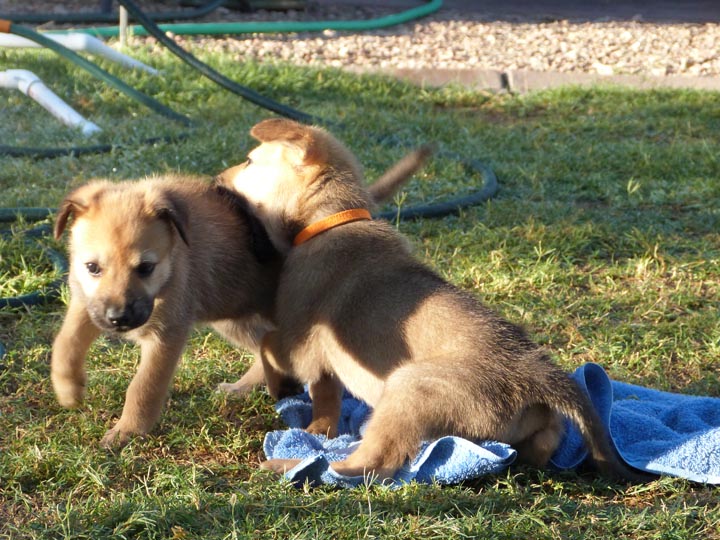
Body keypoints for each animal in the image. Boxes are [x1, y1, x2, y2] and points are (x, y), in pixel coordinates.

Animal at [222, 119, 644, 480]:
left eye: (250, 161)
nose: (219, 181)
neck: (331, 220)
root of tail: (537, 374)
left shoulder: (299, 337)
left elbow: (267, 347)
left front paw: (268, 390)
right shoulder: (322, 360)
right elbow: (325, 398)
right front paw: (314, 425)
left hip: (407, 389)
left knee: (372, 465)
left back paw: (297, 464)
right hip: (529, 427)